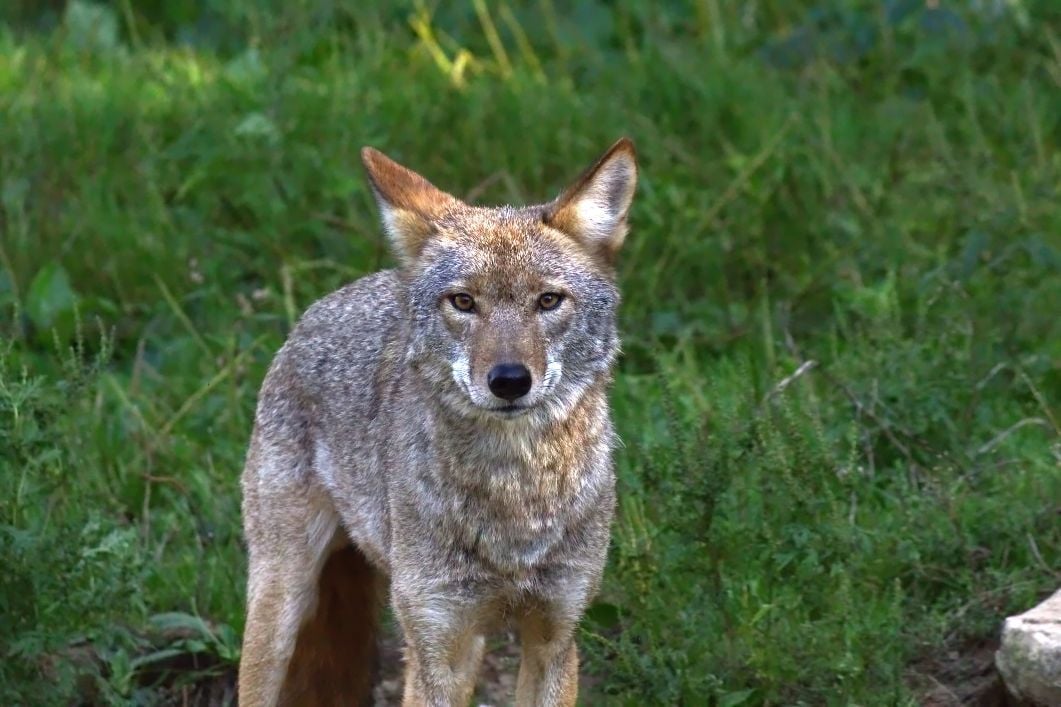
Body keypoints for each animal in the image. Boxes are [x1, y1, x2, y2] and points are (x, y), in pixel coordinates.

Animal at [240, 134, 636, 700]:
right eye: (463, 302)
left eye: (548, 300)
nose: (509, 381)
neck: (514, 496)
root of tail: (323, 306)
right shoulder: (436, 651)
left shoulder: (555, 641)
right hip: (280, 606)